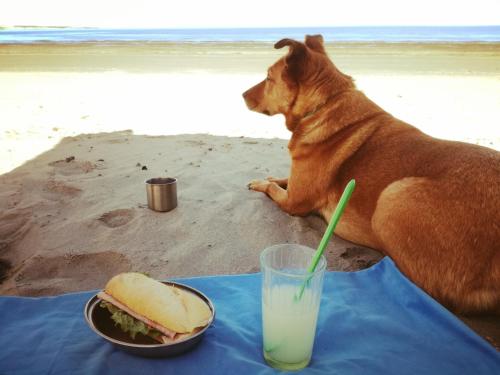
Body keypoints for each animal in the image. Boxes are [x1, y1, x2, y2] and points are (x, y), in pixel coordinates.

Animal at [243, 34, 500, 314]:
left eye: (269, 77)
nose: (242, 94)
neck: (324, 105)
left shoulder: (294, 203)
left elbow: (274, 189)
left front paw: (261, 183)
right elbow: (282, 179)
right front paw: (270, 178)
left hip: (393, 196)